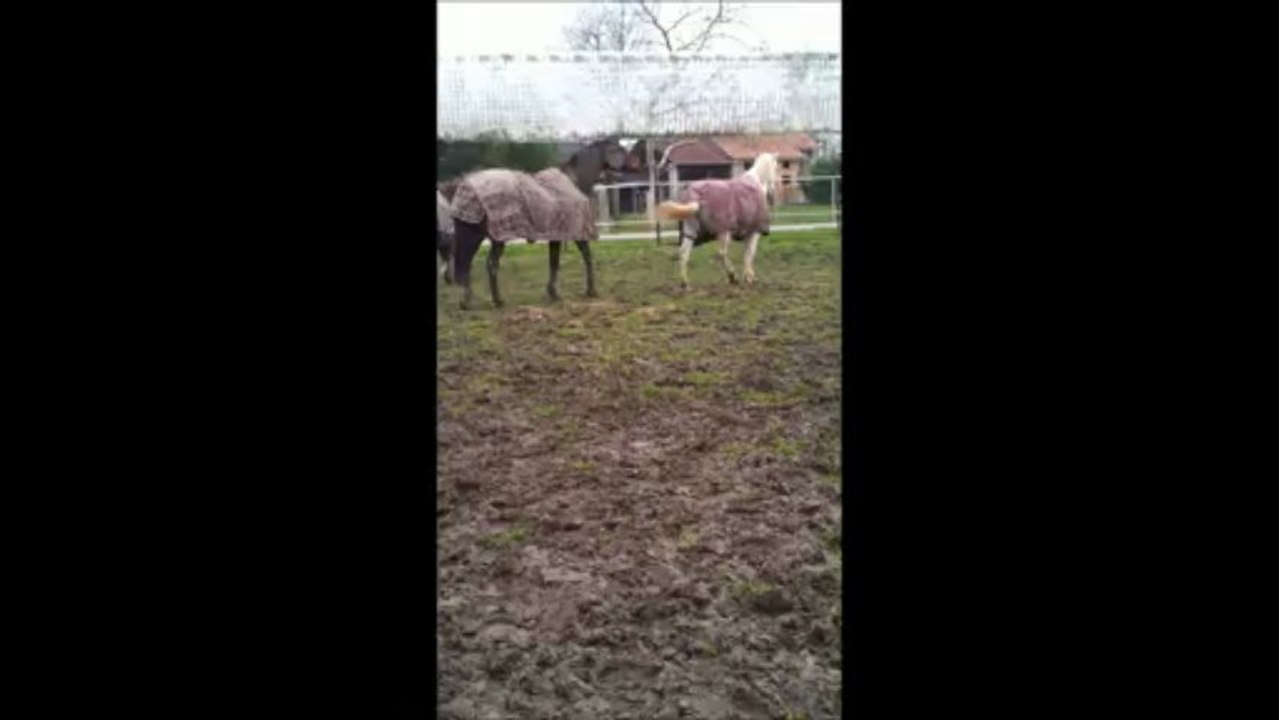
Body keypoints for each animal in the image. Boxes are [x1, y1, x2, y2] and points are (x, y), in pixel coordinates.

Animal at [447, 140, 623, 310]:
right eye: (617, 149)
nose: (621, 171)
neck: (574, 181)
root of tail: (466, 187)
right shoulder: (577, 232)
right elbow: (587, 257)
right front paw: (591, 290)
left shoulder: (556, 235)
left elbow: (554, 262)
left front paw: (553, 293)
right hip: (496, 238)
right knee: (489, 265)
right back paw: (497, 301)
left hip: (475, 236)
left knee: (465, 265)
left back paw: (467, 302)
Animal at [655, 152, 784, 288]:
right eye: (776, 167)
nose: (773, 190)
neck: (756, 183)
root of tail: (695, 196)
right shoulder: (753, 232)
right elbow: (749, 254)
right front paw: (749, 277)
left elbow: (747, 254)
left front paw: (749, 276)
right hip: (724, 232)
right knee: (722, 253)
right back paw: (732, 276)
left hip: (690, 231)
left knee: (684, 252)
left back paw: (685, 283)